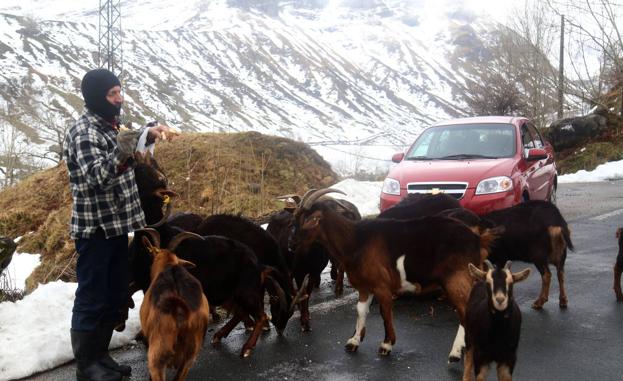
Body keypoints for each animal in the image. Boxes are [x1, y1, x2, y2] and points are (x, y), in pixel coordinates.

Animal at [290, 189, 500, 358]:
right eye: (296, 217)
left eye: (310, 220)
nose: (292, 243)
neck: (356, 241)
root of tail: (478, 239)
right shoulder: (365, 286)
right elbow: (360, 310)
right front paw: (354, 341)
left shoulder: (382, 286)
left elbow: (385, 312)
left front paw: (386, 344)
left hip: (456, 279)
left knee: (464, 312)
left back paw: (456, 353)